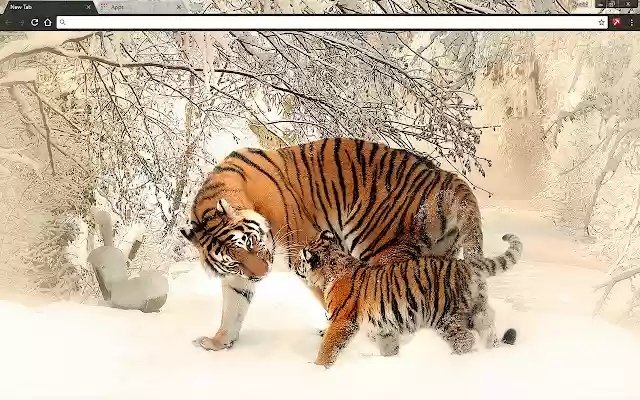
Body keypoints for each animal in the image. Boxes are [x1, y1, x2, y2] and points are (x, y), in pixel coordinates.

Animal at [180, 138, 485, 352]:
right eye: (234, 260)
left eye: (252, 242)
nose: (262, 274)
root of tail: (445, 177)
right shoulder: (237, 278)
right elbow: (233, 308)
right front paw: (219, 342)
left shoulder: (306, 253)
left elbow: (331, 297)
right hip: (439, 256)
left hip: (380, 248)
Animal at [294, 230, 523, 368]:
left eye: (300, 259)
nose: (294, 265)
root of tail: (466, 264)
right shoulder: (384, 327)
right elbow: (388, 347)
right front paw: (391, 363)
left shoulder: (342, 321)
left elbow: (329, 347)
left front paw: (318, 369)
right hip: (478, 311)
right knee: (489, 332)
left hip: (445, 317)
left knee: (465, 340)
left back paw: (457, 361)